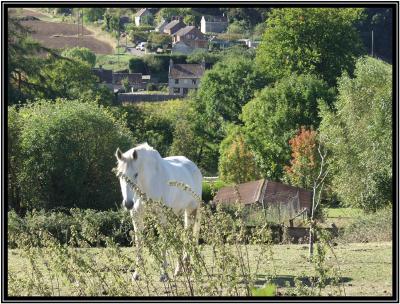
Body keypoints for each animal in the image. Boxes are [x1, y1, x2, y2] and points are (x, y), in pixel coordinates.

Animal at [115, 144, 203, 282]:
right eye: (120, 175)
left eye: (136, 174)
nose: (128, 204)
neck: (148, 183)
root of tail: (194, 167)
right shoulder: (137, 216)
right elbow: (139, 243)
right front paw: (136, 274)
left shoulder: (162, 217)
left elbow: (163, 242)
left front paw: (164, 274)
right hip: (176, 215)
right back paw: (179, 270)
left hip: (191, 211)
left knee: (188, 236)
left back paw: (187, 267)